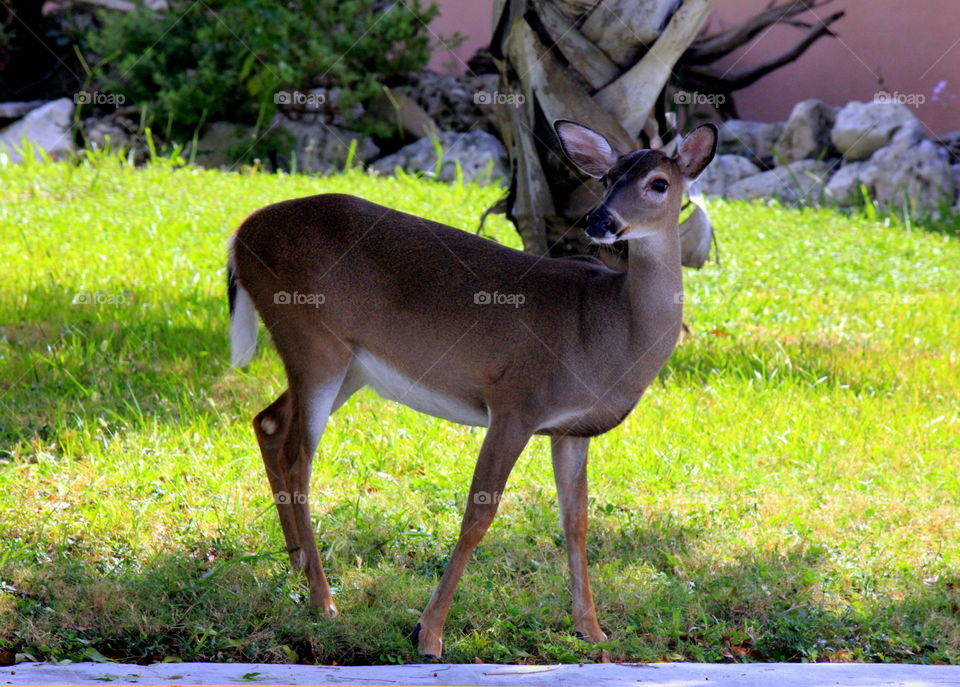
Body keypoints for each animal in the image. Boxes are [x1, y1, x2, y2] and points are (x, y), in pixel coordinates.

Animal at [226, 119, 718, 658]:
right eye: (607, 178)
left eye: (659, 183)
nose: (599, 220)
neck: (612, 331)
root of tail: (239, 235)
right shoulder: (516, 403)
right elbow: (479, 514)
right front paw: (429, 634)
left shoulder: (572, 430)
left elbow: (576, 521)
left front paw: (591, 630)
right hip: (312, 339)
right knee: (298, 456)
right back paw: (324, 599)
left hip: (347, 366)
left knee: (268, 422)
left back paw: (297, 566)